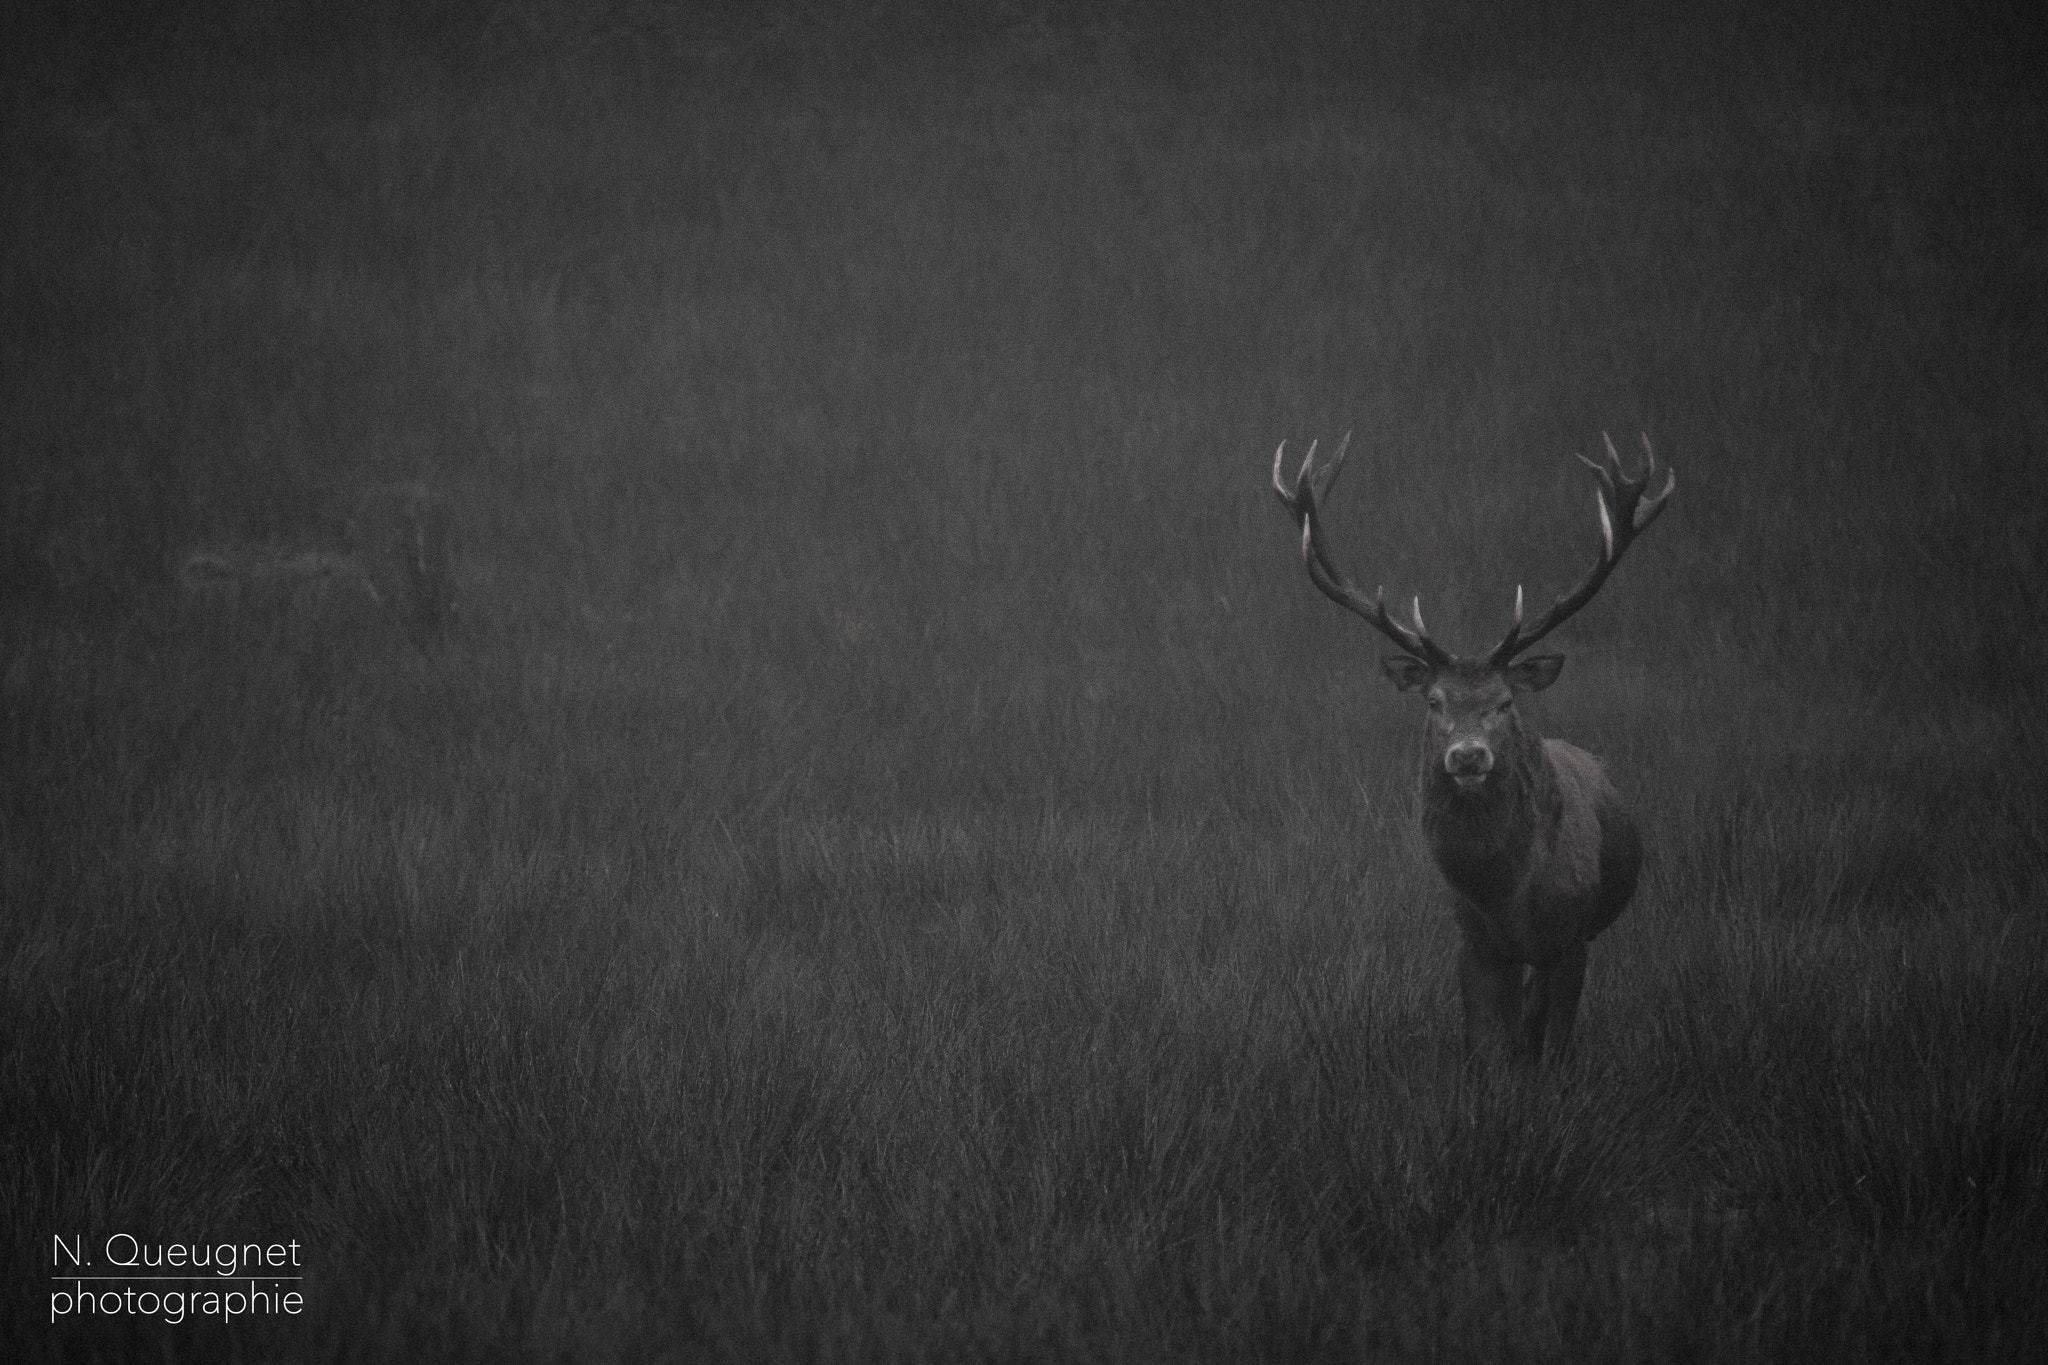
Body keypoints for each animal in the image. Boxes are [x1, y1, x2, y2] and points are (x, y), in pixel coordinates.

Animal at [1273, 432, 1674, 1065]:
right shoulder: (1476, 941)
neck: (1509, 895)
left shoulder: (1572, 939)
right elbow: (1487, 1046)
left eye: (1505, 701)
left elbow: (1553, 1045)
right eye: (1434, 701)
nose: (1467, 756)